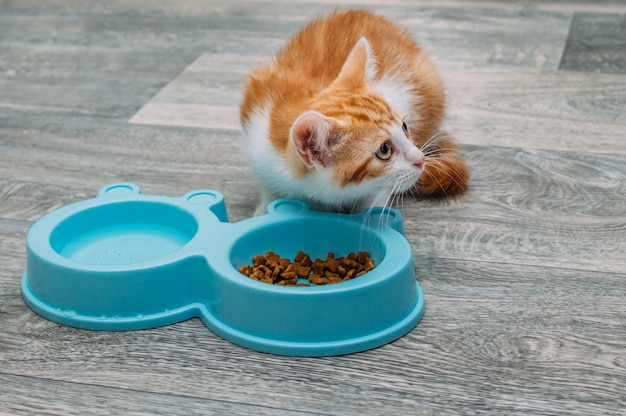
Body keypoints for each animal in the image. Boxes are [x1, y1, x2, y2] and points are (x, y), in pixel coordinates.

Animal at [241, 9, 466, 214]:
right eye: (384, 150)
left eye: (404, 126)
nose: (421, 159)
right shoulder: (257, 142)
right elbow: (270, 187)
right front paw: (265, 208)